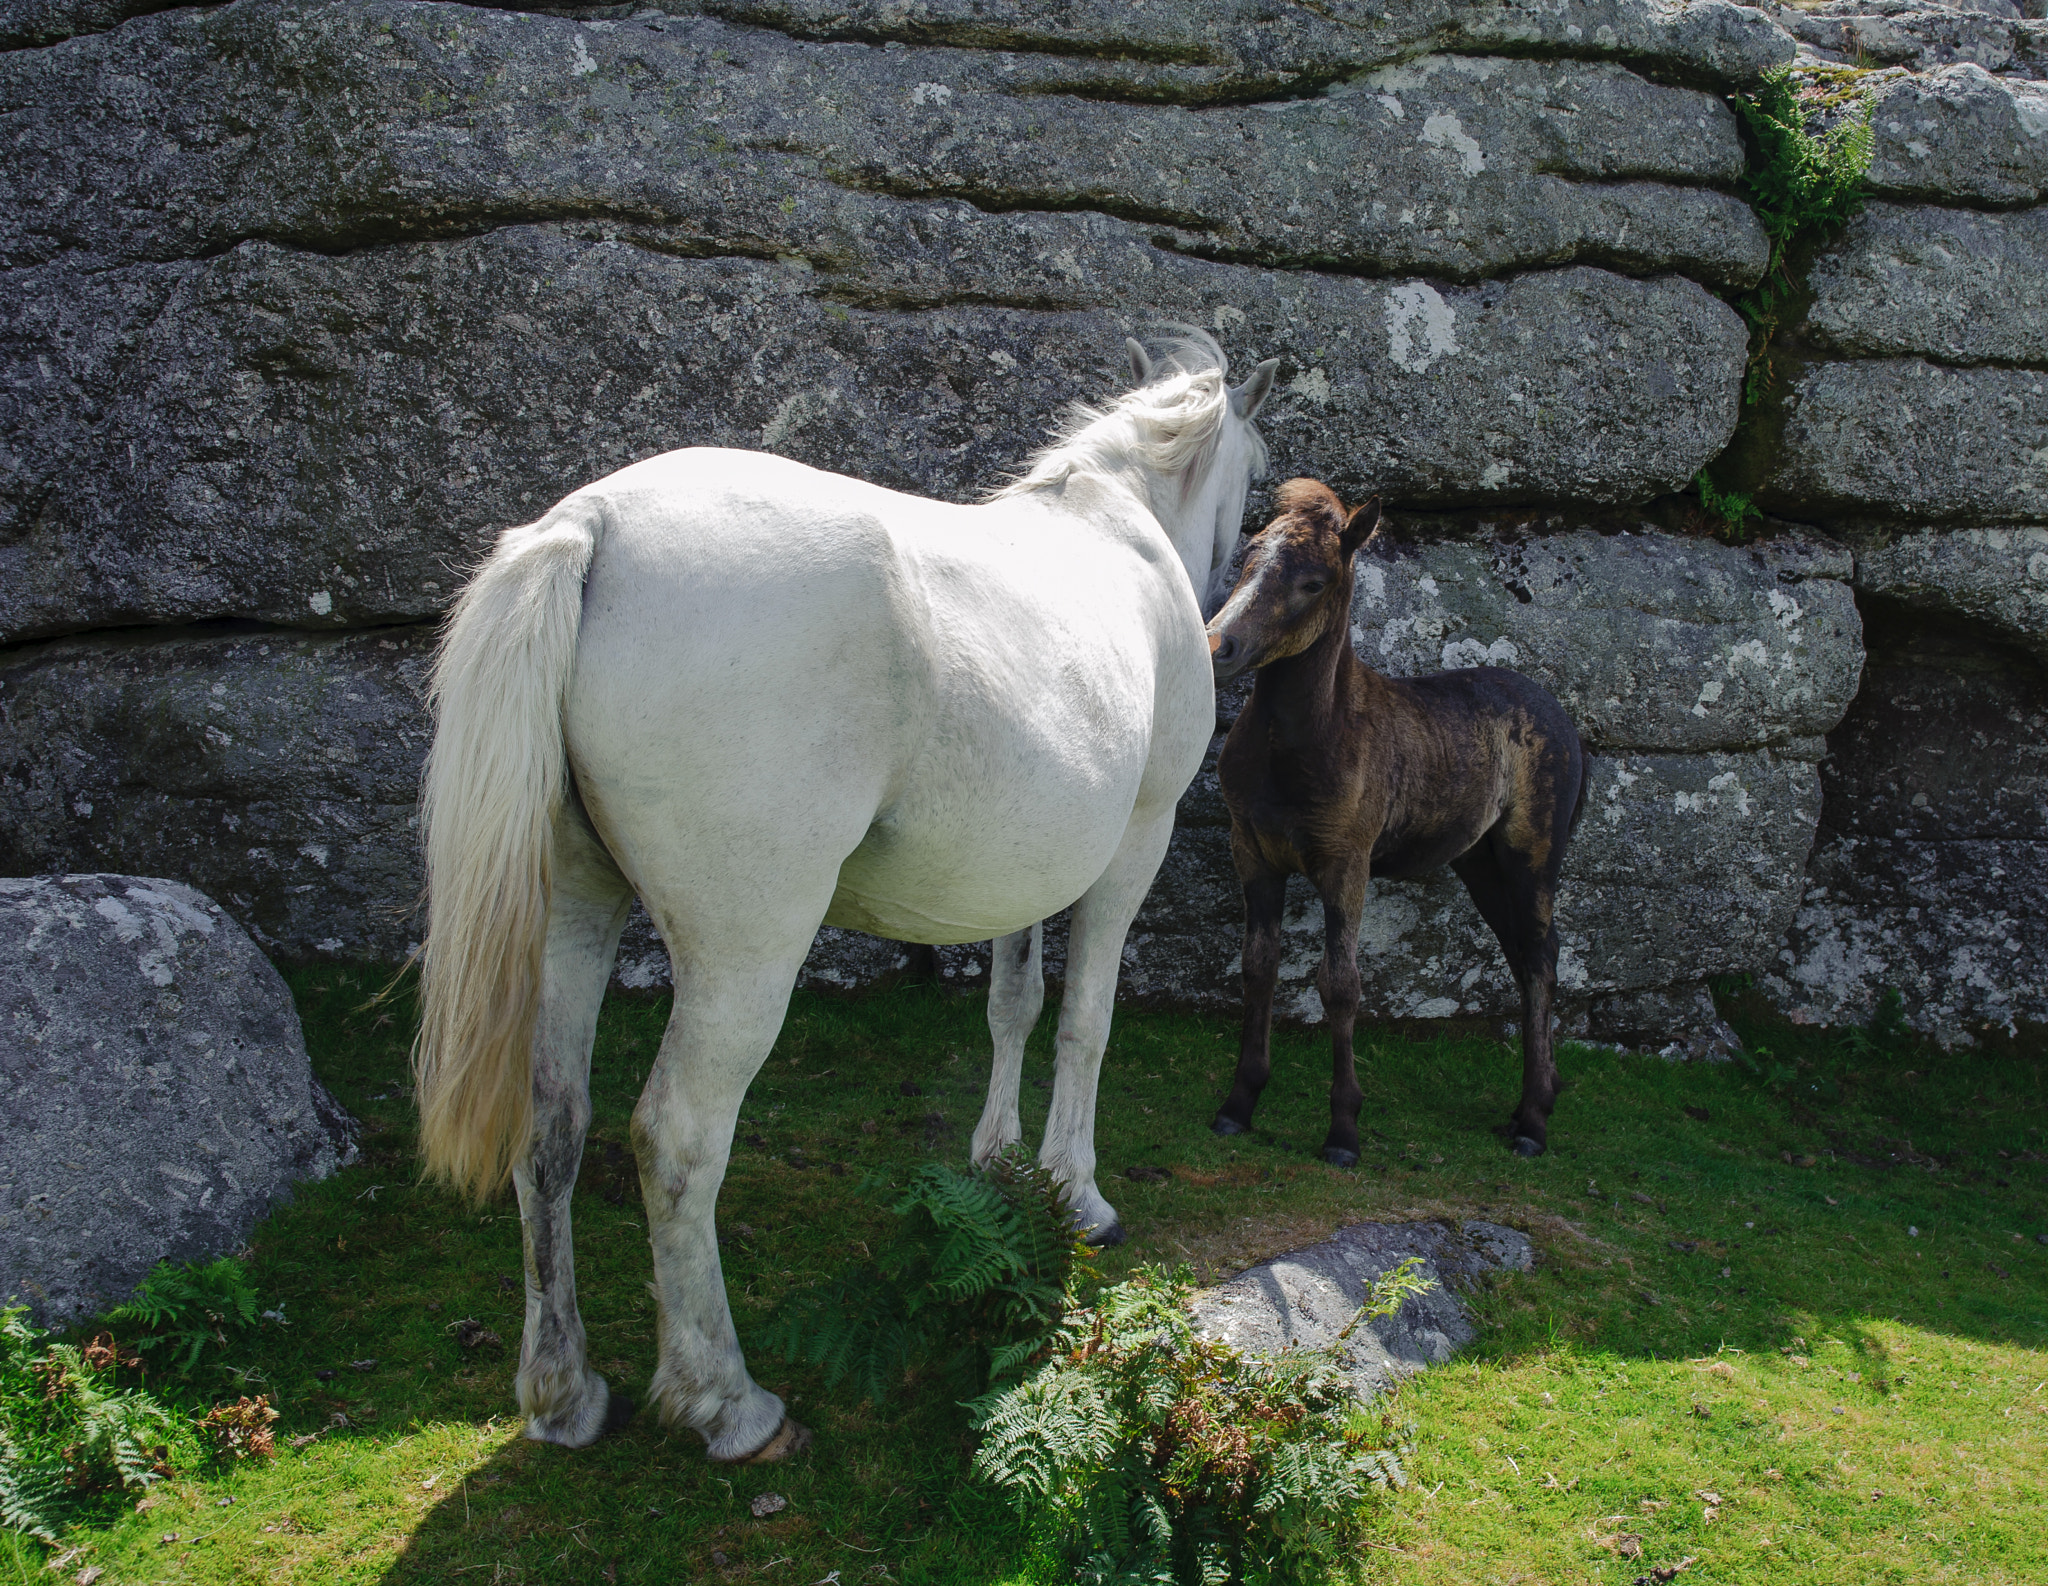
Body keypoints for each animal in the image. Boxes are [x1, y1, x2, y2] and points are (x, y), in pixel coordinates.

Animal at [411, 332, 1279, 1462]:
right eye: (1256, 484)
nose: (1226, 621)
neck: (1113, 523)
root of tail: (591, 525)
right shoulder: (1136, 842)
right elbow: (1086, 1021)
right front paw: (1077, 1194)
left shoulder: (1024, 876)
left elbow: (1014, 1006)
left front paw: (1000, 1166)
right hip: (746, 953)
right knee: (677, 1140)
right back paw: (727, 1402)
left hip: (572, 919)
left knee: (550, 1128)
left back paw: (564, 1393)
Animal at [1203, 479, 1589, 1166]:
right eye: (1248, 560)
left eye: (1313, 582)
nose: (1218, 646)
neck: (1299, 743)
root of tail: (1560, 715)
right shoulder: (1252, 851)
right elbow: (1257, 967)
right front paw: (1239, 1104)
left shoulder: (1346, 864)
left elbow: (1339, 985)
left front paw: (1343, 1132)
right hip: (1480, 864)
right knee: (1523, 955)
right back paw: (1524, 1107)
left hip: (1533, 855)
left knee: (1543, 958)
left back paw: (1535, 1122)